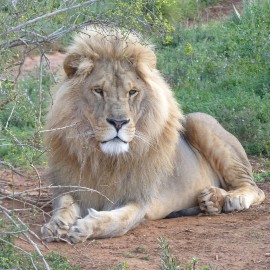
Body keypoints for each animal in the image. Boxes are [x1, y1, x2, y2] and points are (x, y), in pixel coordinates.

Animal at [41, 26, 264, 243]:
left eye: (132, 92)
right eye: (98, 91)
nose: (119, 122)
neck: (104, 159)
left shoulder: (140, 199)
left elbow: (116, 221)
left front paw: (85, 227)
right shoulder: (68, 186)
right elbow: (64, 204)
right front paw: (56, 225)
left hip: (198, 120)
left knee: (255, 188)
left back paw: (233, 199)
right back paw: (211, 200)